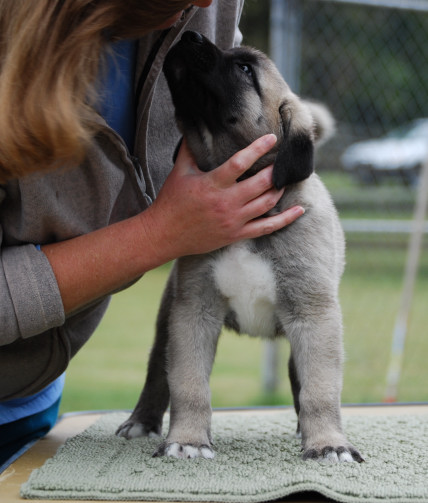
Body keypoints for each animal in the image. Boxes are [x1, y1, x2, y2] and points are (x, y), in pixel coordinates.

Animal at [117, 31, 363, 464]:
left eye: (245, 69)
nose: (190, 35)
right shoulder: (193, 313)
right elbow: (188, 384)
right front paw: (189, 439)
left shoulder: (314, 315)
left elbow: (319, 388)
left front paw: (327, 442)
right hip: (166, 321)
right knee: (156, 373)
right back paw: (141, 421)